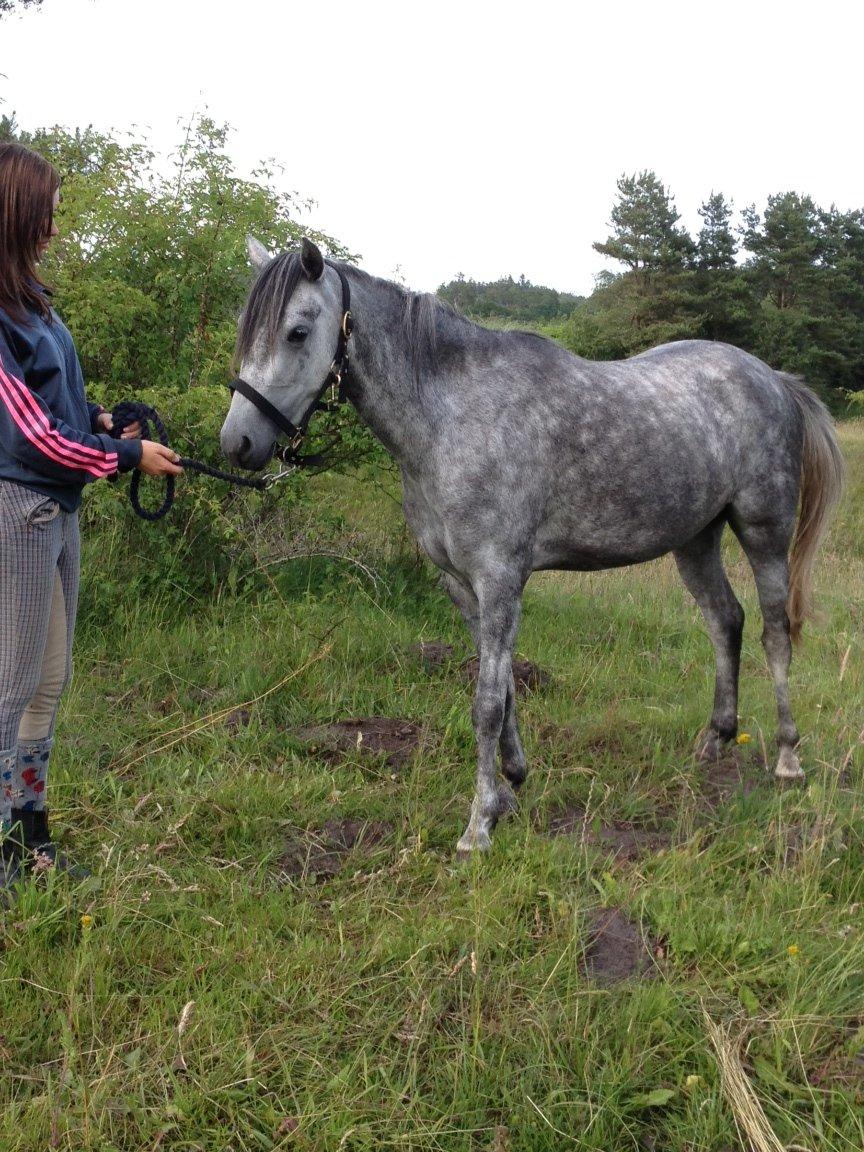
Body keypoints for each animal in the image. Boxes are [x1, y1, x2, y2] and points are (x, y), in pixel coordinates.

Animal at [220, 236, 844, 854]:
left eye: (297, 331)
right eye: (246, 330)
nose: (238, 443)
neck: (450, 418)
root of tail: (772, 378)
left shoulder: (499, 578)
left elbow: (487, 704)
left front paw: (477, 827)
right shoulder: (464, 585)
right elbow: (504, 690)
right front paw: (511, 785)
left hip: (764, 531)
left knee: (774, 632)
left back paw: (788, 758)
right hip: (694, 540)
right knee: (725, 620)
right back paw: (715, 740)